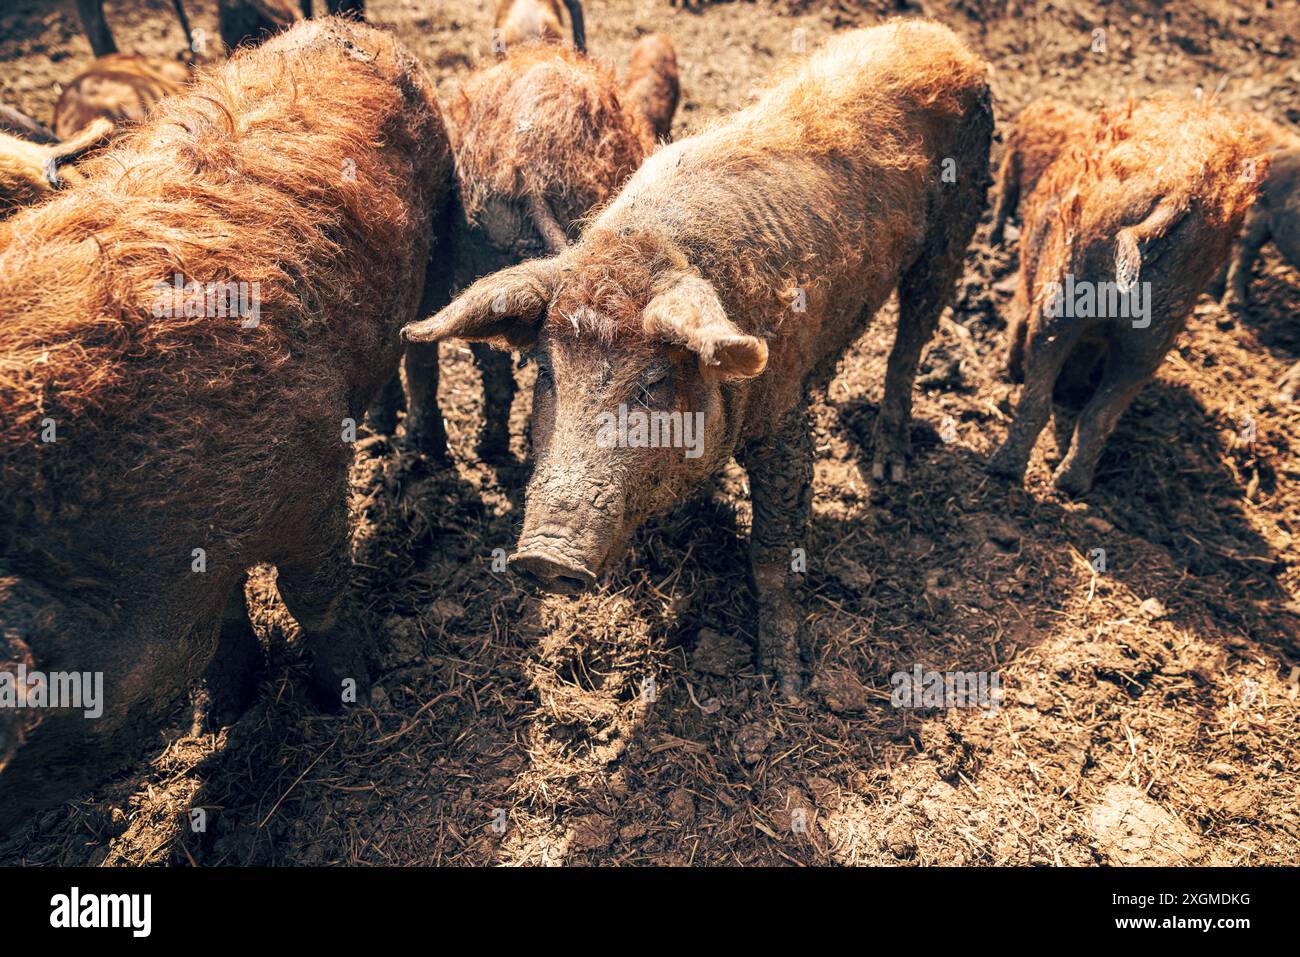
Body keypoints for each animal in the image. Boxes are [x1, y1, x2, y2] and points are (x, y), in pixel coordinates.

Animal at [0, 18, 452, 832]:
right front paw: (222, 717)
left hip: (439, 235)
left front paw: (352, 695)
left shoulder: (309, 478)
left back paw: (420, 450)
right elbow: (226, 630)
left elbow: (316, 596)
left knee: (424, 351)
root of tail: (344, 25)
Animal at [405, 20, 993, 696]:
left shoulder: (784, 417)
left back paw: (890, 467)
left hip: (958, 224)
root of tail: (944, 37)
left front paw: (785, 683)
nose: (544, 557)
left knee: (912, 338)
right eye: (548, 373)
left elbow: (773, 547)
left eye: (653, 383)